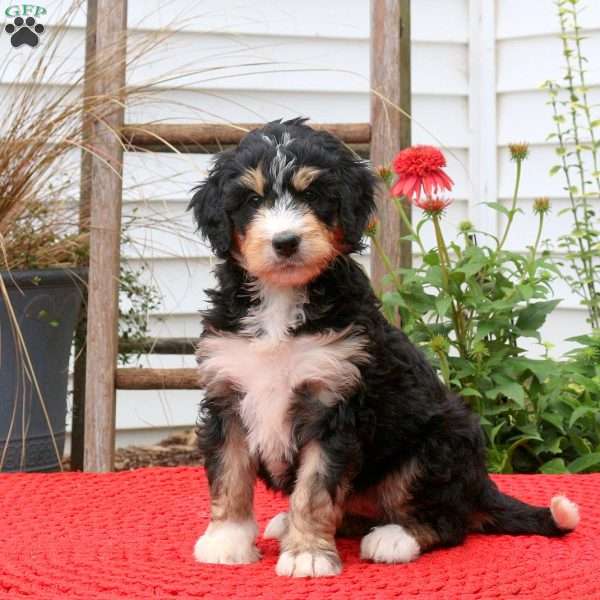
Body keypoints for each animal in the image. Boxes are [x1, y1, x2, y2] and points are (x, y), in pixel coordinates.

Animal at [190, 118, 580, 576]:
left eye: (314, 196)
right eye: (252, 200)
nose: (285, 242)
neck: (280, 301)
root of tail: (480, 484)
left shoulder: (334, 406)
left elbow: (314, 489)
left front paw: (307, 555)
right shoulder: (228, 393)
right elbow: (229, 475)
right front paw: (228, 540)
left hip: (436, 446)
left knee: (448, 522)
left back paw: (395, 538)